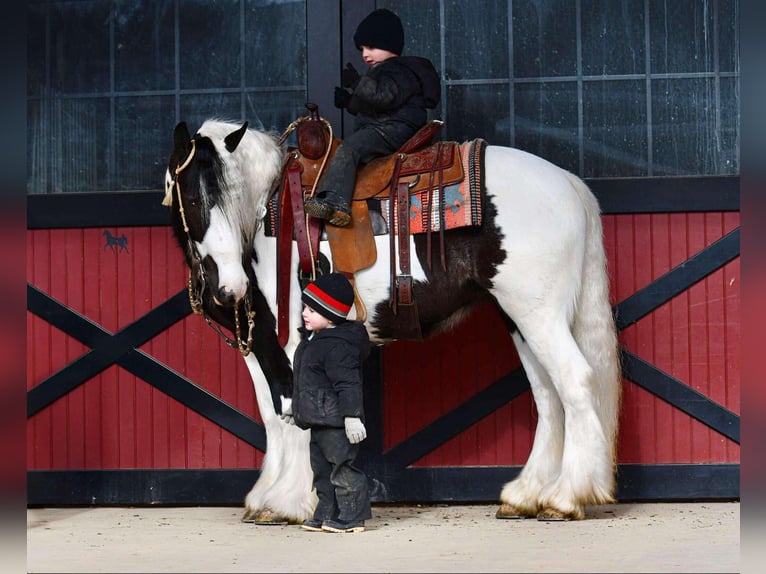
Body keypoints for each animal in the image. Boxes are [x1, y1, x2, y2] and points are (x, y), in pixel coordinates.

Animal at [165, 119, 620, 524]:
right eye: (193, 200)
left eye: (232, 196)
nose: (230, 288)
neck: (268, 223)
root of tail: (568, 182)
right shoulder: (257, 342)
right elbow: (272, 414)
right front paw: (266, 497)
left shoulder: (291, 340)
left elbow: (295, 412)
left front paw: (289, 502)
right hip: (519, 318)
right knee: (547, 394)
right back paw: (527, 495)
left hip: (538, 314)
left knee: (574, 381)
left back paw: (565, 497)